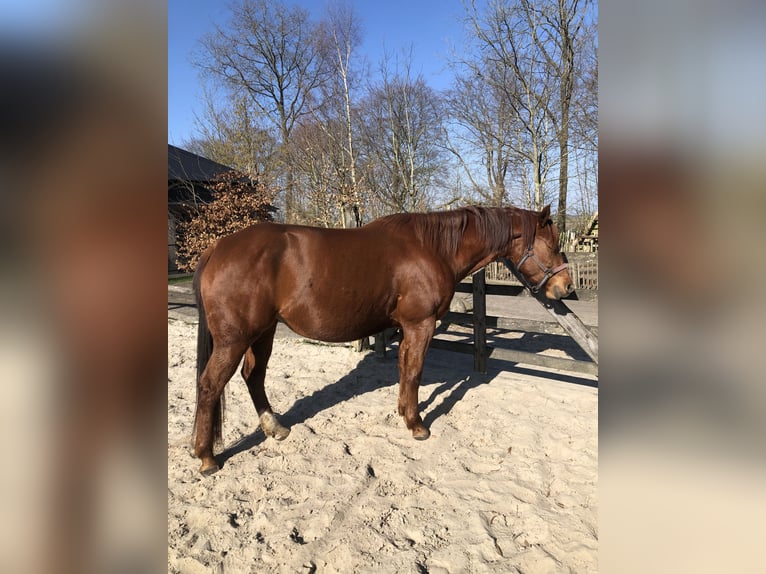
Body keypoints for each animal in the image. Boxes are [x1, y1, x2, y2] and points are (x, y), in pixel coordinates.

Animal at [192, 204, 573, 475]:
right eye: (553, 245)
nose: (566, 287)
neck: (432, 248)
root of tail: (218, 248)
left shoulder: (408, 327)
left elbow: (404, 369)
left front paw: (403, 412)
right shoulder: (421, 324)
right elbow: (415, 371)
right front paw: (417, 425)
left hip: (263, 331)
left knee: (253, 376)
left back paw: (275, 427)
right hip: (235, 338)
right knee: (210, 384)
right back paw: (207, 457)